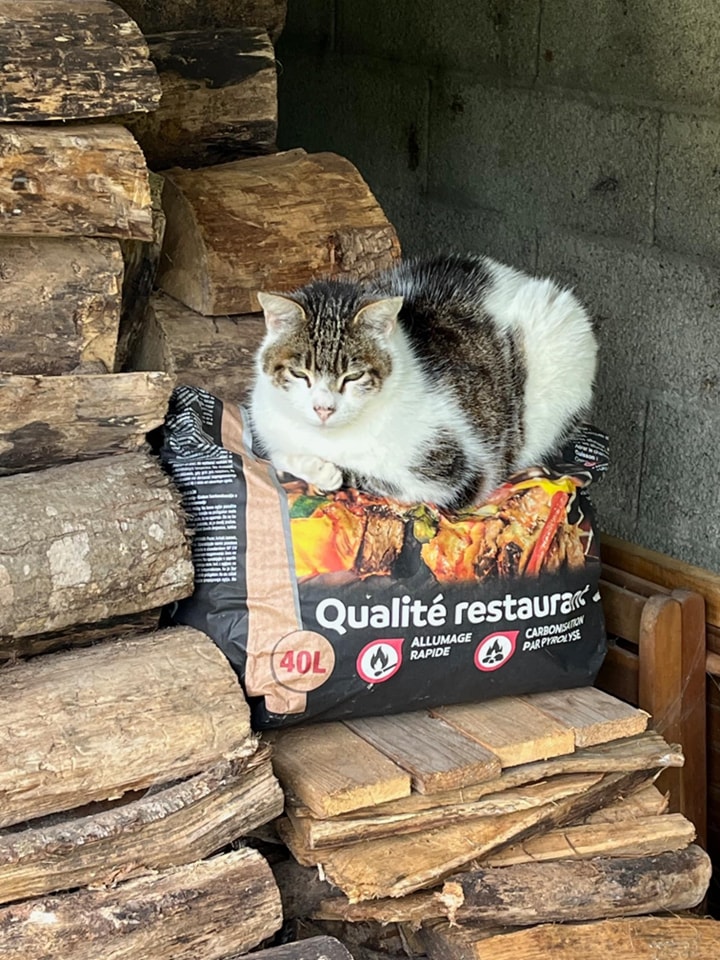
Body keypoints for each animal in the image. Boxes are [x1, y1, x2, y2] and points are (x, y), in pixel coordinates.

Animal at [249, 253, 597, 510]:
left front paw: (322, 470)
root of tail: (517, 275)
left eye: (354, 375)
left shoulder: (454, 475)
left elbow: (369, 479)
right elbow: (274, 453)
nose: (323, 408)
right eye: (300, 374)